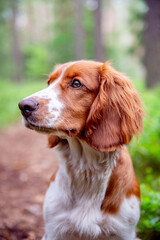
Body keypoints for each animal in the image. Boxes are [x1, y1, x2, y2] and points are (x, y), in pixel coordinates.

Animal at [18, 61, 144, 239]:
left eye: (76, 83)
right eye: (49, 82)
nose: (23, 106)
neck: (86, 167)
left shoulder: (124, 231)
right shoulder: (54, 229)